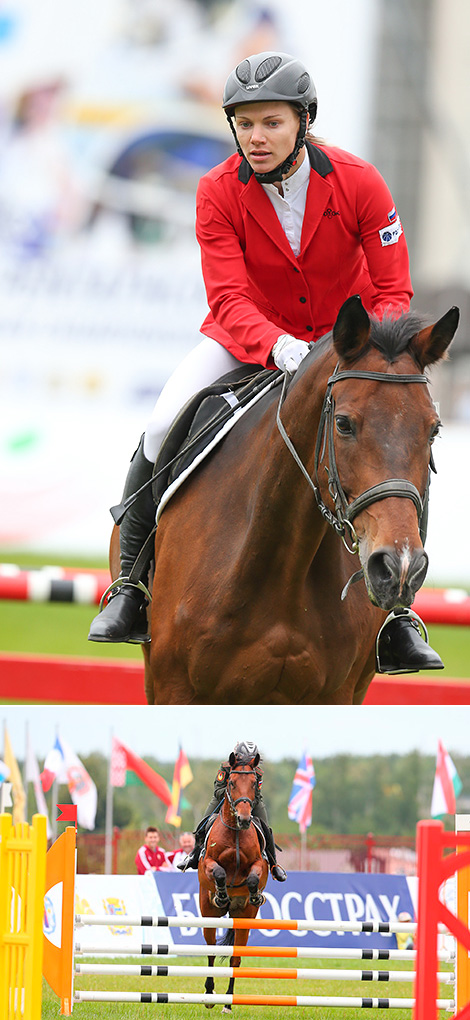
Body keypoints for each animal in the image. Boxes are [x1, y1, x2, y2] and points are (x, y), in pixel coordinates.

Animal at [194, 754, 267, 1007]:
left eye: (255, 784)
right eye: (232, 782)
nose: (244, 819)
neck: (235, 832)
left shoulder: (259, 863)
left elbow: (254, 877)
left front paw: (254, 894)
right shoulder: (208, 862)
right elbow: (219, 873)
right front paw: (221, 893)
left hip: (244, 918)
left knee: (236, 959)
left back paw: (228, 1002)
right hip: (208, 914)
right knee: (210, 951)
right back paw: (208, 994)